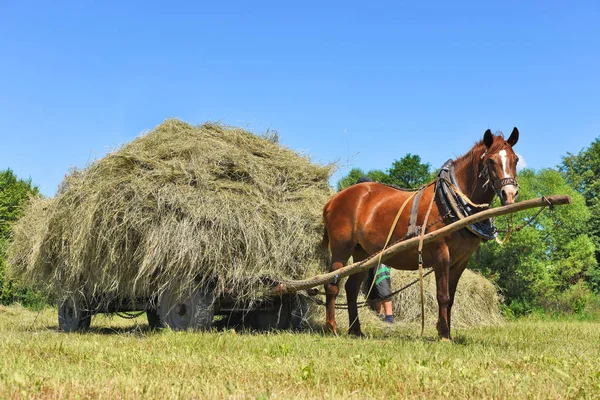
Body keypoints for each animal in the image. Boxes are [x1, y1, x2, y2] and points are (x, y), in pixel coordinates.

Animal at [324, 127, 520, 338]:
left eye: (515, 159)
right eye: (491, 160)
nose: (509, 194)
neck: (451, 201)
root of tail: (334, 199)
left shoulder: (461, 260)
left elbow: (451, 299)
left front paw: (445, 331)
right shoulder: (441, 254)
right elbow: (443, 296)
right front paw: (444, 335)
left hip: (363, 254)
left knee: (351, 288)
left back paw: (356, 330)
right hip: (341, 249)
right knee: (331, 285)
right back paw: (331, 327)